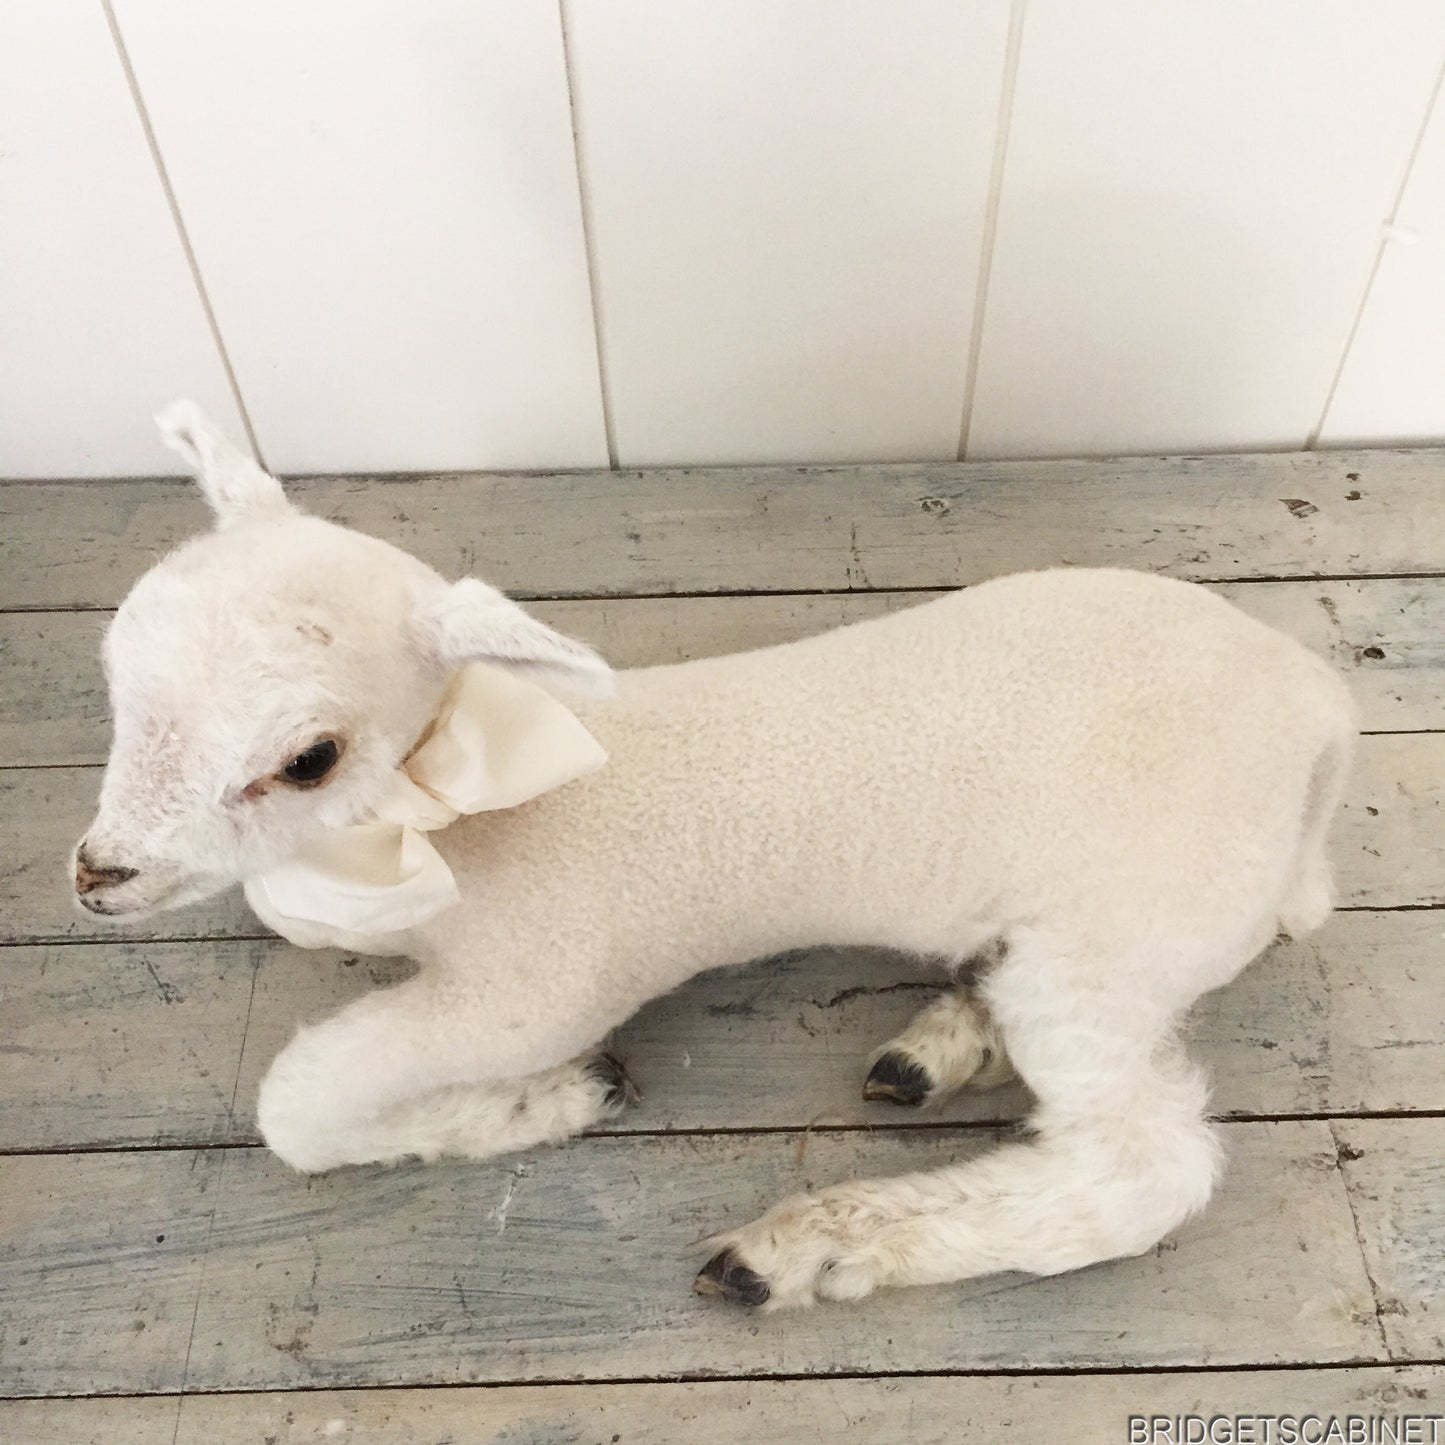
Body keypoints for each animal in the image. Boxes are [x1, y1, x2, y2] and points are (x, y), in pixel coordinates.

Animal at [73, 402, 1358, 1311]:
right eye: (118, 666)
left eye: (309, 757)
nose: (98, 875)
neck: (455, 817)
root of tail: (1318, 709)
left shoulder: (532, 988)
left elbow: (300, 1103)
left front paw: (538, 1101)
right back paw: (942, 1045)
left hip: (1116, 932)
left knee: (1143, 1166)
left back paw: (815, 1245)